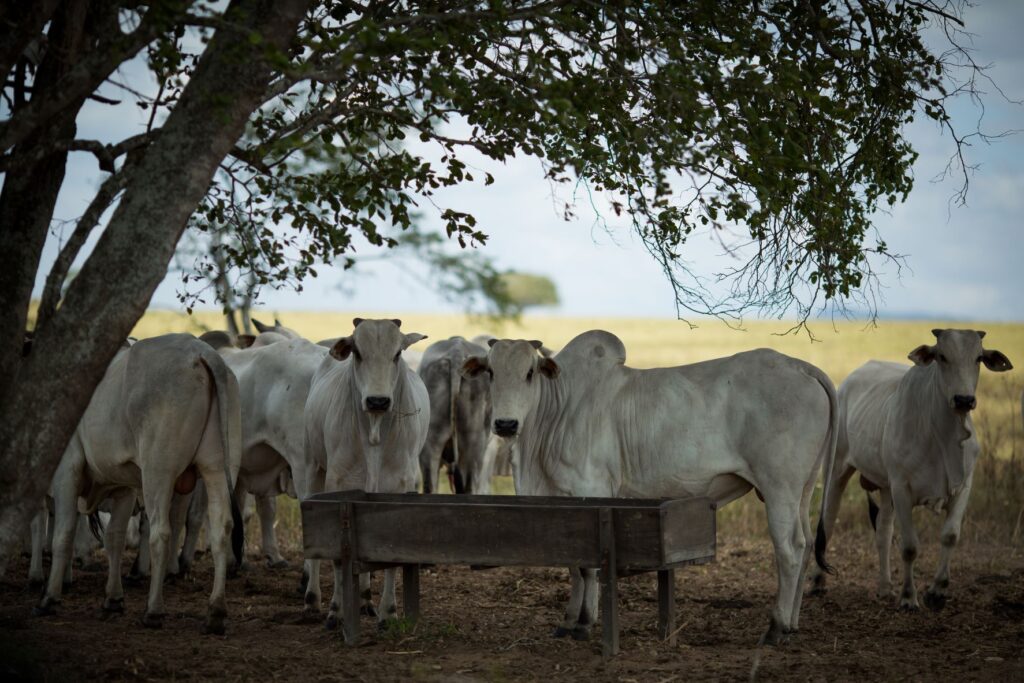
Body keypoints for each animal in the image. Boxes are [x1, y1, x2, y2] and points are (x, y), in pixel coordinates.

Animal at [32, 333, 243, 638]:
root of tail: (202, 353)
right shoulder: (123, 487)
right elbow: (114, 539)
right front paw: (113, 599)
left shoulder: (66, 472)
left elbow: (63, 534)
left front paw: (49, 598)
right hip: (217, 468)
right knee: (221, 528)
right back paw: (215, 612)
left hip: (158, 471)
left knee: (161, 533)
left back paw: (153, 610)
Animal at [303, 319, 432, 630]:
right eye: (357, 353)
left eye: (397, 353)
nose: (377, 401)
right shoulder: (338, 487)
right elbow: (338, 557)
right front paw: (336, 611)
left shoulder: (398, 490)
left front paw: (389, 613)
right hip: (311, 468)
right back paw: (312, 599)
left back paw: (364, 600)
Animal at [460, 331, 835, 647]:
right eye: (490, 372)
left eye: (529, 373)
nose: (505, 424)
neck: (557, 411)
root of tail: (800, 366)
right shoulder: (563, 504)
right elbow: (572, 563)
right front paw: (568, 621)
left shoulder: (592, 491)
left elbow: (588, 566)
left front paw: (584, 623)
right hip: (802, 491)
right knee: (805, 545)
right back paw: (792, 623)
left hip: (779, 488)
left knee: (789, 550)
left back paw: (776, 628)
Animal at [811, 327, 1011, 610]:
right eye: (942, 356)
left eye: (979, 358)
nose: (964, 399)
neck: (944, 436)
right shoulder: (902, 489)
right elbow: (909, 547)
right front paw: (908, 597)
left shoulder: (963, 486)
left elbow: (950, 535)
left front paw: (937, 591)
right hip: (838, 469)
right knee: (828, 520)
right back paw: (818, 581)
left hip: (885, 486)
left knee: (883, 530)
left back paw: (885, 587)